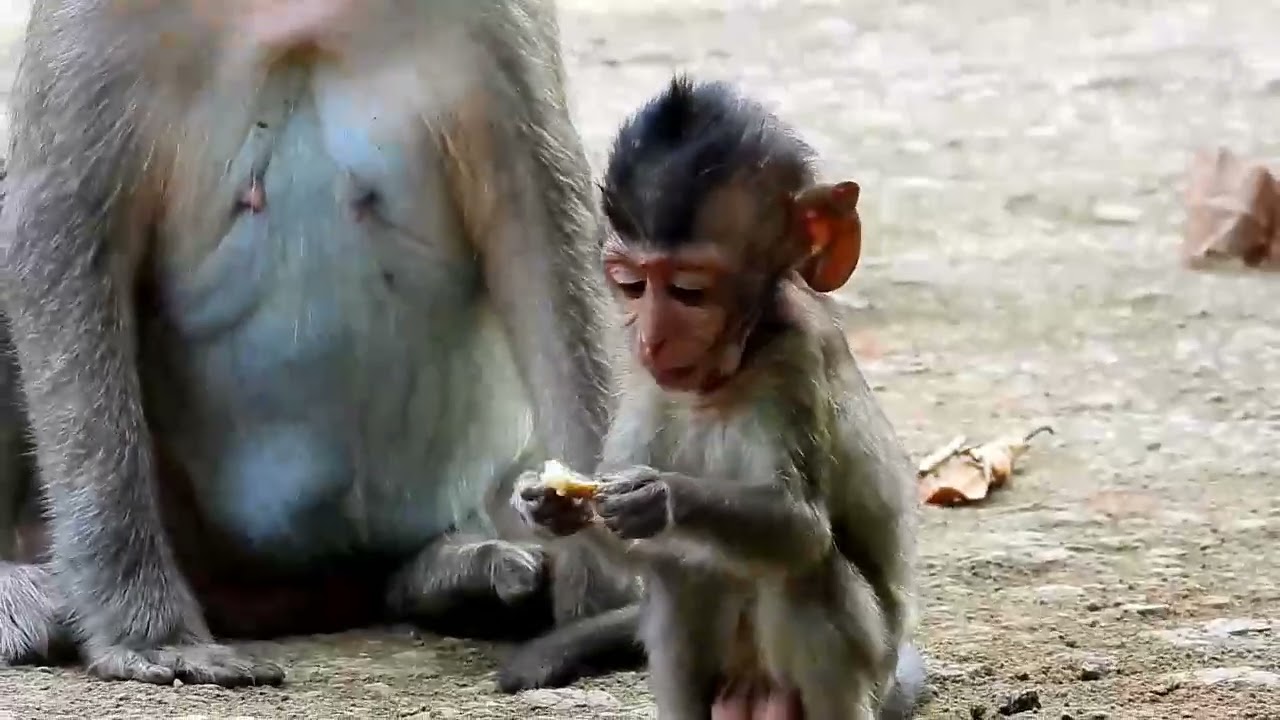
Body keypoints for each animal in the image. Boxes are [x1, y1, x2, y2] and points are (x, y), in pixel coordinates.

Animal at [510, 76, 928, 719]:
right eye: (631, 284)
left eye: (690, 292)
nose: (651, 337)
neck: (726, 378)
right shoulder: (647, 381)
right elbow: (640, 553)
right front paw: (547, 506)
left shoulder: (797, 361)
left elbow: (802, 528)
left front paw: (663, 495)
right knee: (680, 574)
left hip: (870, 659)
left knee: (808, 574)